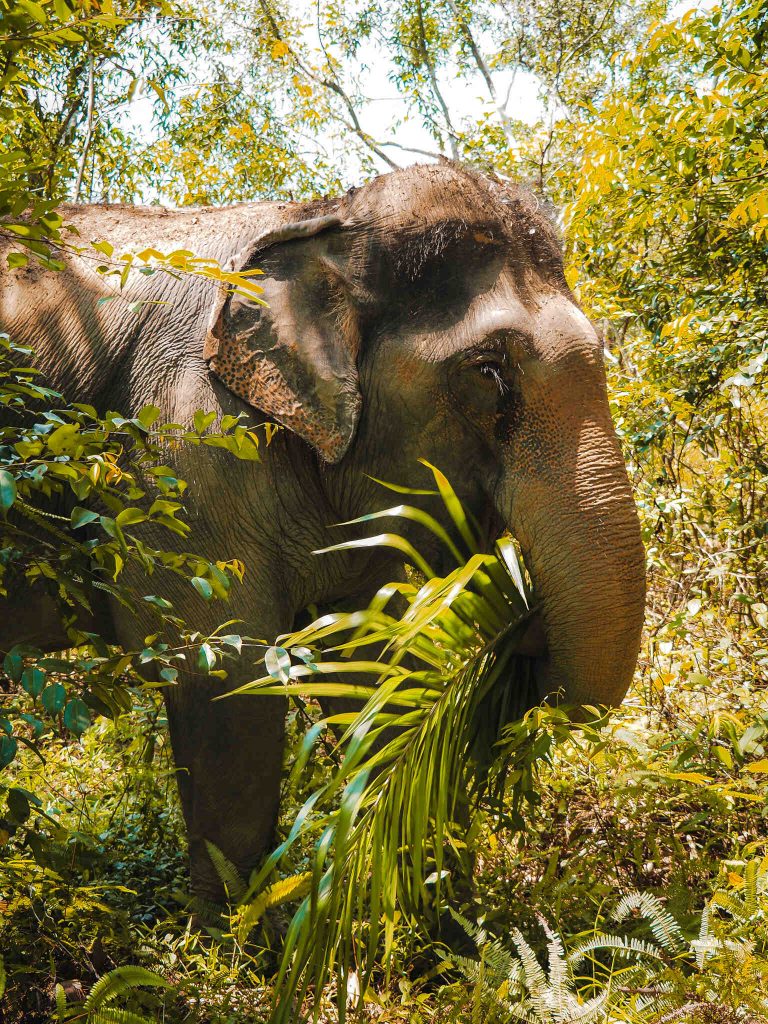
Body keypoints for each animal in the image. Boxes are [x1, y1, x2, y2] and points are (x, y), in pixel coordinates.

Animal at [0, 162, 646, 901]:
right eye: (488, 372)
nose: (520, 620)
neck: (322, 217)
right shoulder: (180, 450)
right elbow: (225, 680)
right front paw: (243, 927)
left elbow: (373, 669)